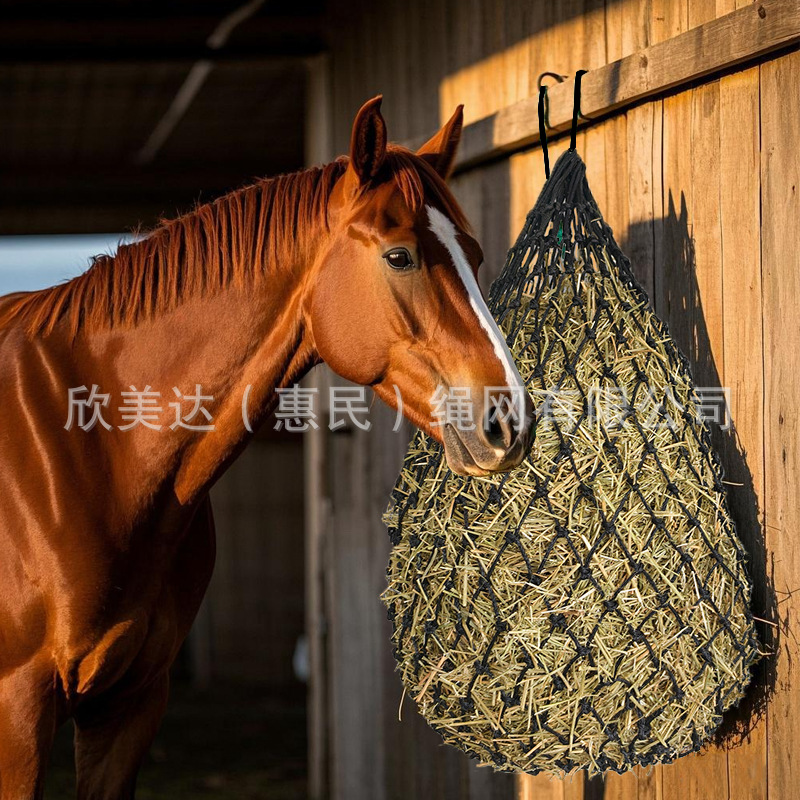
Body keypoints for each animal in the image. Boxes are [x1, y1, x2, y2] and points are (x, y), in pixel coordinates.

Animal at [0, 96, 533, 799]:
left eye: (472, 254)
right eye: (400, 257)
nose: (510, 421)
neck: (87, 452)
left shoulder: (131, 705)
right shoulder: (18, 713)